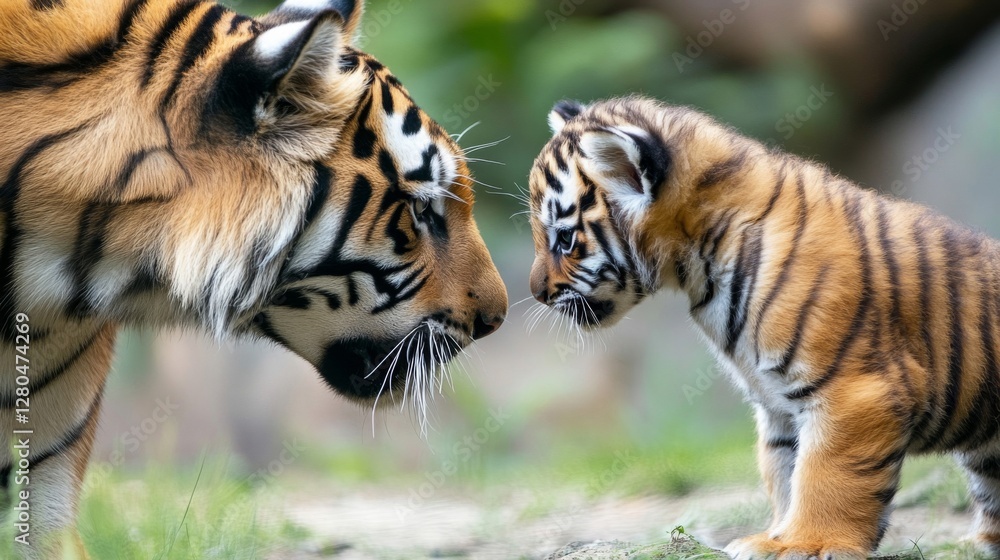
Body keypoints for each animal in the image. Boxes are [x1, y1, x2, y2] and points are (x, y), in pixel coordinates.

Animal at [527, 96, 1000, 559]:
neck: (701, 264)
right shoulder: (778, 407)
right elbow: (785, 472)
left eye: (564, 240)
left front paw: (807, 543)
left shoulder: (853, 392)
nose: (536, 293)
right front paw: (774, 538)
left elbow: (826, 476)